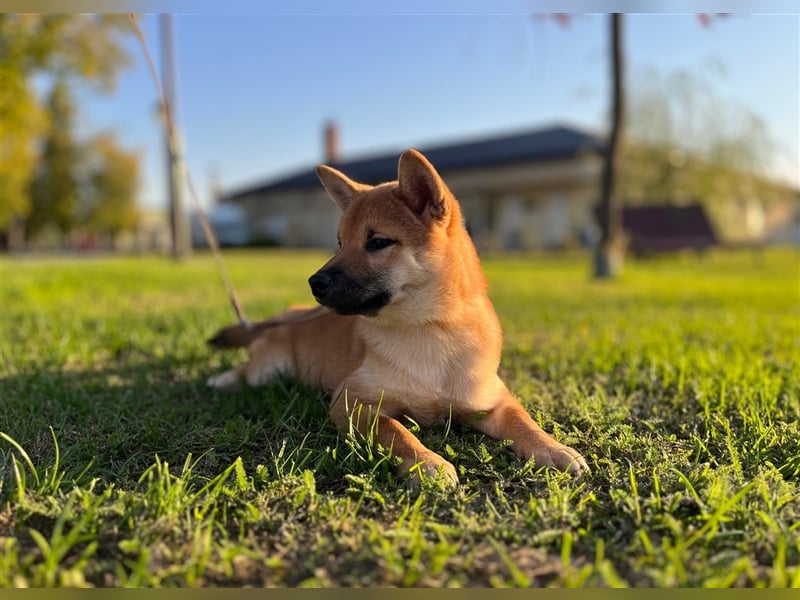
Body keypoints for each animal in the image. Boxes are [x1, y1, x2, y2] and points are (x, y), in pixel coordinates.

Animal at [209, 148, 592, 486]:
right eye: (340, 242)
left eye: (378, 242)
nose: (315, 283)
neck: (430, 330)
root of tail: (291, 313)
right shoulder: (354, 402)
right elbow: (396, 431)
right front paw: (426, 462)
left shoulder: (493, 400)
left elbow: (523, 422)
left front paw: (553, 448)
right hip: (268, 370)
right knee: (246, 370)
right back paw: (221, 381)